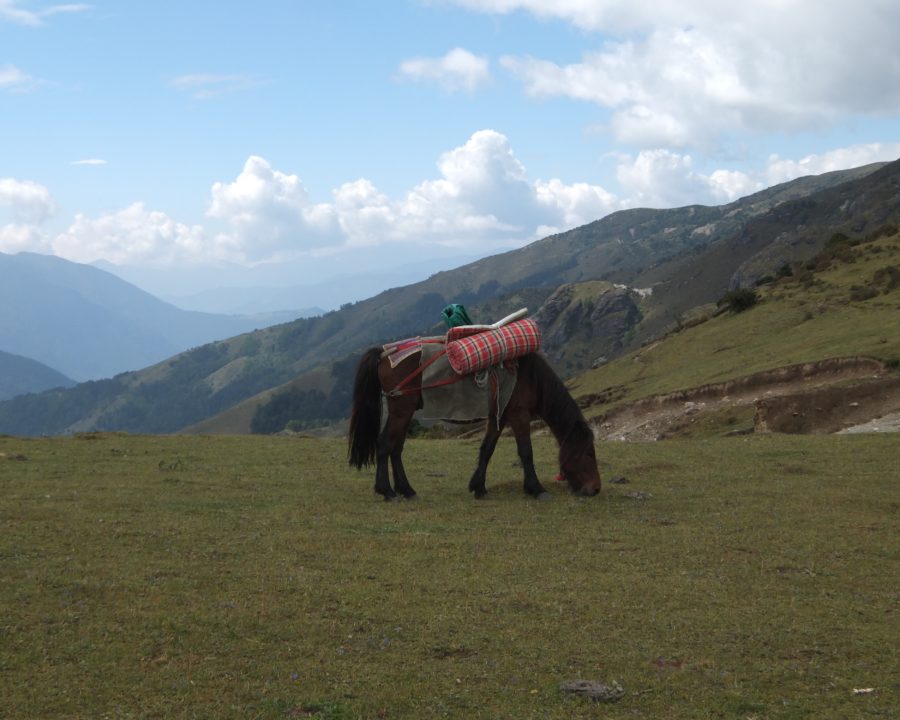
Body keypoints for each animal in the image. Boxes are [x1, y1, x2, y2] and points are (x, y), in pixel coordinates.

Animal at [348, 348, 600, 500]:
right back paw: (387, 491)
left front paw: (478, 487)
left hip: (405, 412)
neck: (530, 376)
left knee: (396, 448)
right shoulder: (519, 415)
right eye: (589, 454)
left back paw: (406, 490)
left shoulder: (500, 417)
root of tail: (385, 354)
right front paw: (536, 489)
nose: (595, 489)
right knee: (384, 445)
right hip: (401, 410)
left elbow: (487, 449)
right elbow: (526, 452)